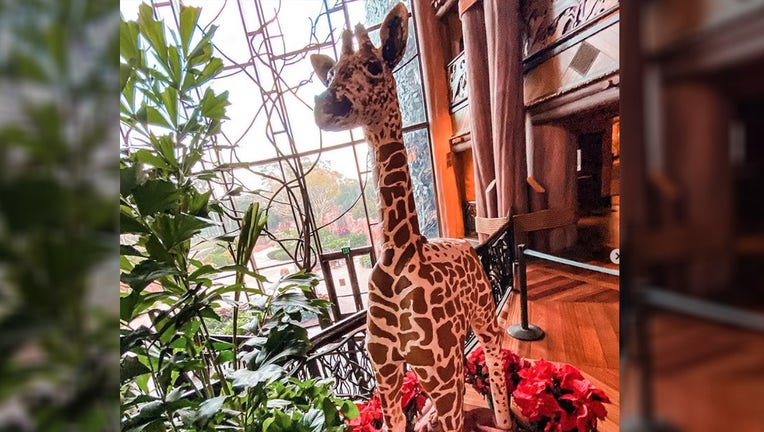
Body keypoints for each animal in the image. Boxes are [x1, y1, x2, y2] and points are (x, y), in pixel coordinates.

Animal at [311, 4, 512, 431]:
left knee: (493, 355)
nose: (325, 107)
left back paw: (502, 420)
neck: (398, 255)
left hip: (481, 316)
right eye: (331, 73)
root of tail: (466, 244)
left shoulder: (439, 372)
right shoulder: (385, 372)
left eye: (374, 66)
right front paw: (421, 419)